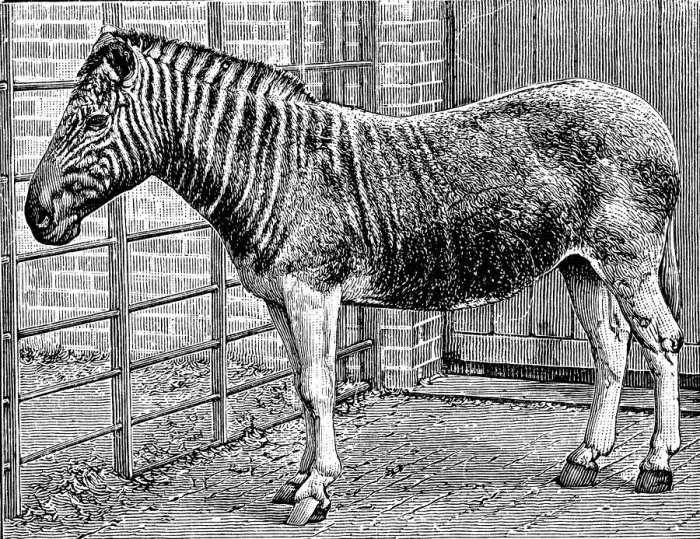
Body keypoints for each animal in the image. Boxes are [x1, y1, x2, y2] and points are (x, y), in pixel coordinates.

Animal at [25, 27, 683, 525]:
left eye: (95, 121)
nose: (34, 215)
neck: (272, 167)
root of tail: (651, 114)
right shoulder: (277, 299)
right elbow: (300, 387)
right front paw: (296, 481)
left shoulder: (312, 293)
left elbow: (319, 388)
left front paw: (316, 491)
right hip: (581, 267)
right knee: (611, 349)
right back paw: (585, 460)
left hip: (627, 262)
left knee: (662, 344)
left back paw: (655, 466)